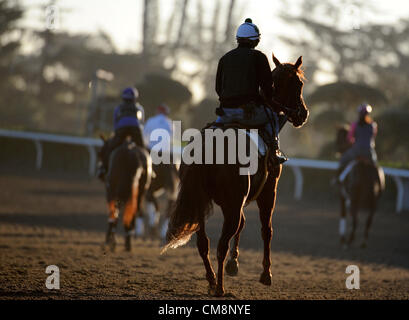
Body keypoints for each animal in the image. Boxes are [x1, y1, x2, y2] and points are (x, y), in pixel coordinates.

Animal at [161, 53, 308, 296]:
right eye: (299, 83)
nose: (303, 113)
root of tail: (208, 147)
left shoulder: (234, 201)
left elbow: (243, 224)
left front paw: (234, 263)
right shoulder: (267, 192)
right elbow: (266, 229)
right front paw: (266, 274)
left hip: (201, 202)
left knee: (204, 244)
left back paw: (212, 280)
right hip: (233, 202)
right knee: (221, 243)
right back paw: (220, 287)